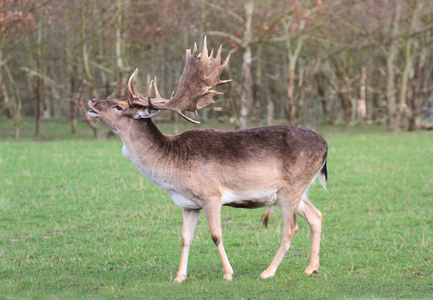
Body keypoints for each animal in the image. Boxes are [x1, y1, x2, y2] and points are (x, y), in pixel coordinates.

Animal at [87, 38, 328, 284]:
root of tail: (325, 146)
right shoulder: (188, 204)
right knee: (316, 216)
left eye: (119, 106)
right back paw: (311, 268)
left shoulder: (212, 195)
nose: (92, 100)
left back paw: (268, 272)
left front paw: (228, 273)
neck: (172, 171)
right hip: (295, 191)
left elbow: (216, 235)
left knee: (291, 228)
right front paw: (179, 277)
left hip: (292, 188)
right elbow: (185, 238)